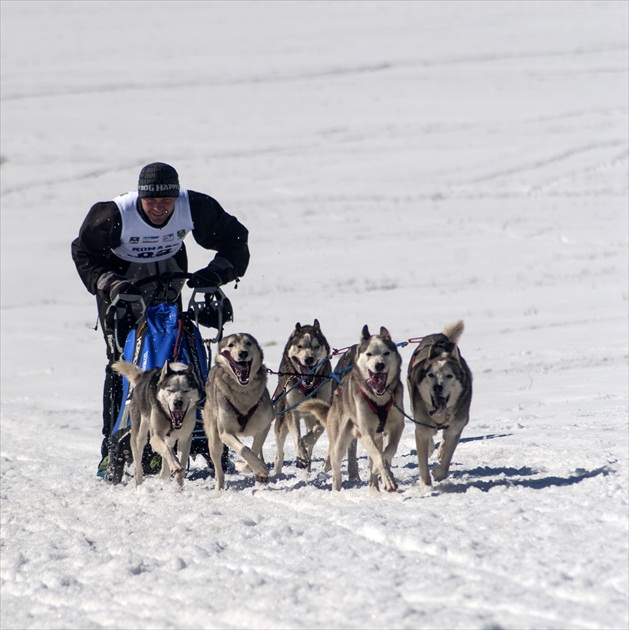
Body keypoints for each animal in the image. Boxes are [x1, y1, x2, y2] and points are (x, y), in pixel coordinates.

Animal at [109, 360, 202, 488]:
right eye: (170, 390)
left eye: (186, 390)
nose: (178, 402)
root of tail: (142, 376)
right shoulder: (155, 436)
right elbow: (167, 450)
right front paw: (175, 465)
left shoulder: (185, 438)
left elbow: (180, 460)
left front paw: (177, 486)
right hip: (139, 437)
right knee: (138, 467)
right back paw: (139, 485)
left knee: (166, 461)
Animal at [202, 334, 274, 492]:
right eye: (231, 345)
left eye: (248, 343)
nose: (243, 353)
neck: (243, 392)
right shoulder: (225, 433)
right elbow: (244, 449)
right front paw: (254, 466)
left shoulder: (265, 426)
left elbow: (254, 449)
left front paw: (253, 467)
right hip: (215, 441)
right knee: (218, 467)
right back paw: (219, 487)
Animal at [274, 320, 334, 474]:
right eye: (300, 346)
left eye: (316, 346)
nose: (309, 359)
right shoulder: (291, 411)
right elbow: (297, 438)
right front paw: (301, 452)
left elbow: (317, 431)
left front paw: (307, 441)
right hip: (281, 421)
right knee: (280, 452)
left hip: (310, 418)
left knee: (312, 443)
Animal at [298, 328, 402, 496]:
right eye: (369, 354)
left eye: (386, 353)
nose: (379, 365)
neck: (378, 399)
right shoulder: (366, 433)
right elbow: (379, 457)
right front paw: (387, 478)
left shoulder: (397, 427)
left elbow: (389, 451)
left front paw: (383, 473)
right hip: (339, 443)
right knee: (336, 473)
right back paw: (337, 492)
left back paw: (374, 488)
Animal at [408, 320, 472, 488]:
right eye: (431, 375)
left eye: (449, 375)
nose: (437, 387)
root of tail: (439, 336)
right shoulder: (421, 427)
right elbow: (422, 461)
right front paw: (425, 485)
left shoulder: (456, 427)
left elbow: (448, 454)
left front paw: (439, 473)